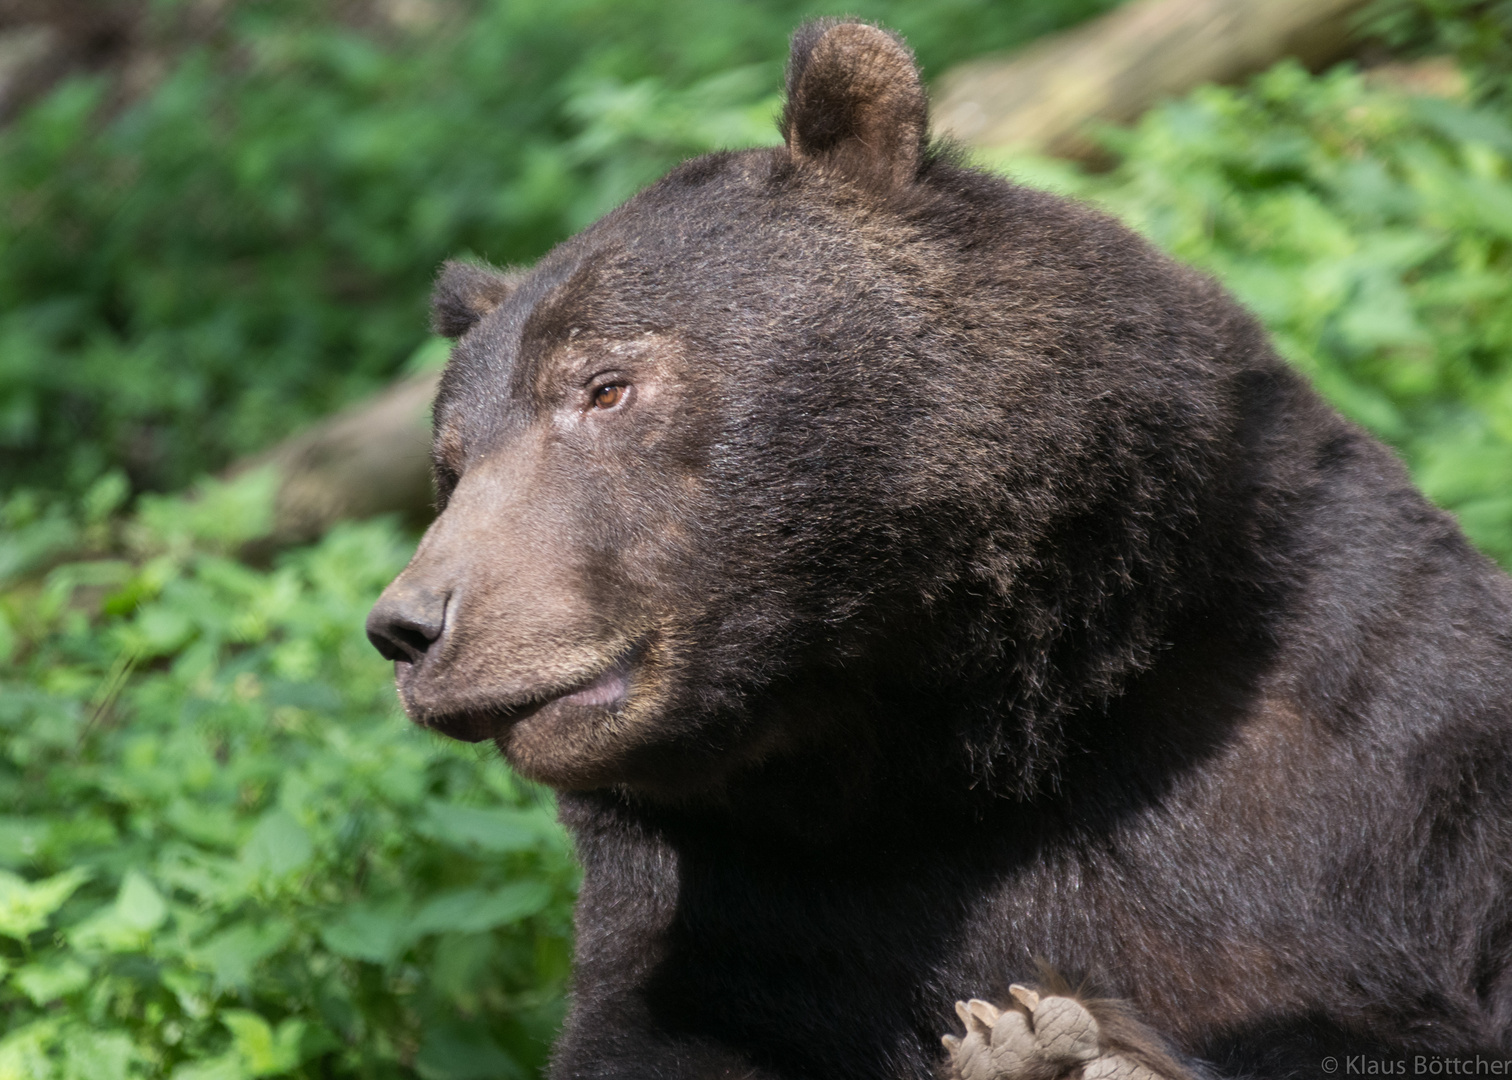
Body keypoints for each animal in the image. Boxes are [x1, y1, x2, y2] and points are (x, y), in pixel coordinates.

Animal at [362, 16, 1512, 1076]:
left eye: (604, 386)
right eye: (451, 462)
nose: (411, 627)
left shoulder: (1361, 734)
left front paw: (1076, 1042)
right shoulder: (744, 890)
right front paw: (1042, 1041)